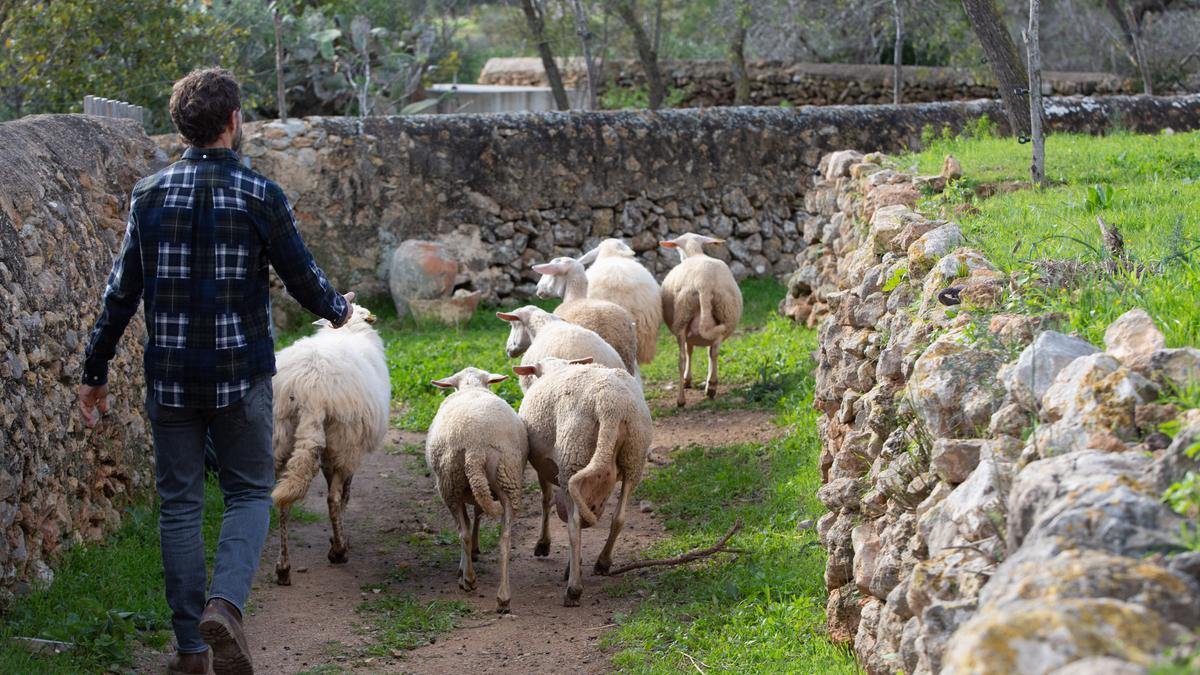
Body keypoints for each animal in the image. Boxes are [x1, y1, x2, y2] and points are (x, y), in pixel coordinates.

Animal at [271, 305, 388, 583]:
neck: (349, 329)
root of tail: (308, 387)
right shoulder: (344, 451)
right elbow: (345, 495)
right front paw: (339, 539)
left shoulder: (327, 454)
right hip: (345, 440)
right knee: (333, 499)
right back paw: (339, 552)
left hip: (281, 436)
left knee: (282, 504)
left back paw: (283, 567)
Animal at [427, 365, 530, 612]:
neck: (471, 386)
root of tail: (476, 445)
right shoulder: (480, 490)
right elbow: (478, 513)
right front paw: (473, 552)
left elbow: (470, 520)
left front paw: (466, 562)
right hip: (508, 478)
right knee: (505, 538)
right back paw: (503, 597)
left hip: (449, 483)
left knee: (461, 532)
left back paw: (469, 580)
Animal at [511, 357, 652, 605]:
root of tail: (610, 406)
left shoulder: (543, 466)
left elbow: (546, 500)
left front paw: (543, 544)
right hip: (634, 455)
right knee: (618, 517)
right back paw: (602, 562)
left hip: (572, 457)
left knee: (574, 525)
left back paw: (573, 588)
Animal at [657, 233, 739, 403]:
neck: (695, 252)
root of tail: (704, 284)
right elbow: (703, 352)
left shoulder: (688, 334)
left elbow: (689, 351)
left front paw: (688, 380)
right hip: (725, 313)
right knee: (714, 352)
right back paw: (711, 386)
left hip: (682, 316)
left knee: (681, 359)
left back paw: (682, 399)